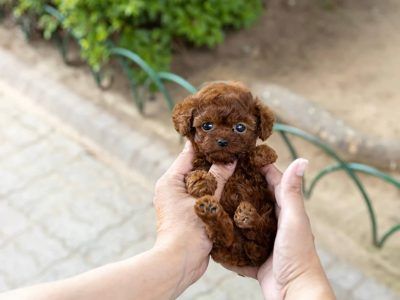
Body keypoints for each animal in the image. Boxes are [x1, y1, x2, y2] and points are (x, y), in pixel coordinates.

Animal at [172, 81, 278, 266]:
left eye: (240, 127)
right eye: (207, 126)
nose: (222, 141)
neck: (224, 162)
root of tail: (248, 256)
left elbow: (248, 158)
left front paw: (264, 153)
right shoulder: (196, 163)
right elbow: (195, 173)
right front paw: (202, 181)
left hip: (268, 214)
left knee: (263, 230)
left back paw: (247, 216)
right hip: (223, 247)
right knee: (226, 238)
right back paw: (210, 211)